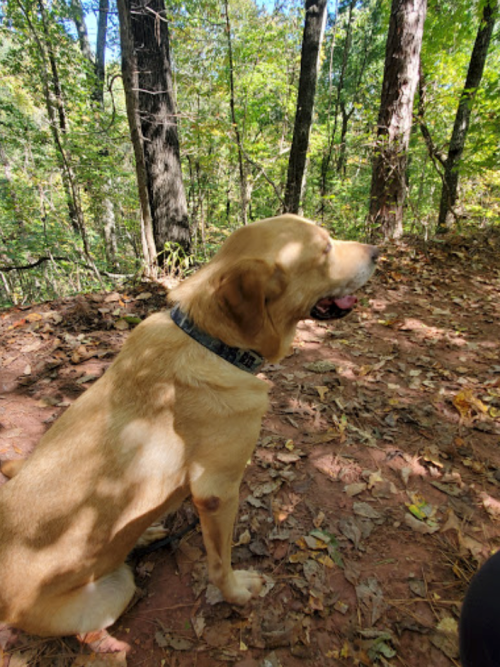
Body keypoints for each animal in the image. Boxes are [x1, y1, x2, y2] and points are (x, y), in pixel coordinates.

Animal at [0, 214, 376, 648]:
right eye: (325, 249)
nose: (377, 251)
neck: (211, 341)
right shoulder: (217, 492)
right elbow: (220, 564)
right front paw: (237, 594)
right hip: (115, 590)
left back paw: (145, 534)